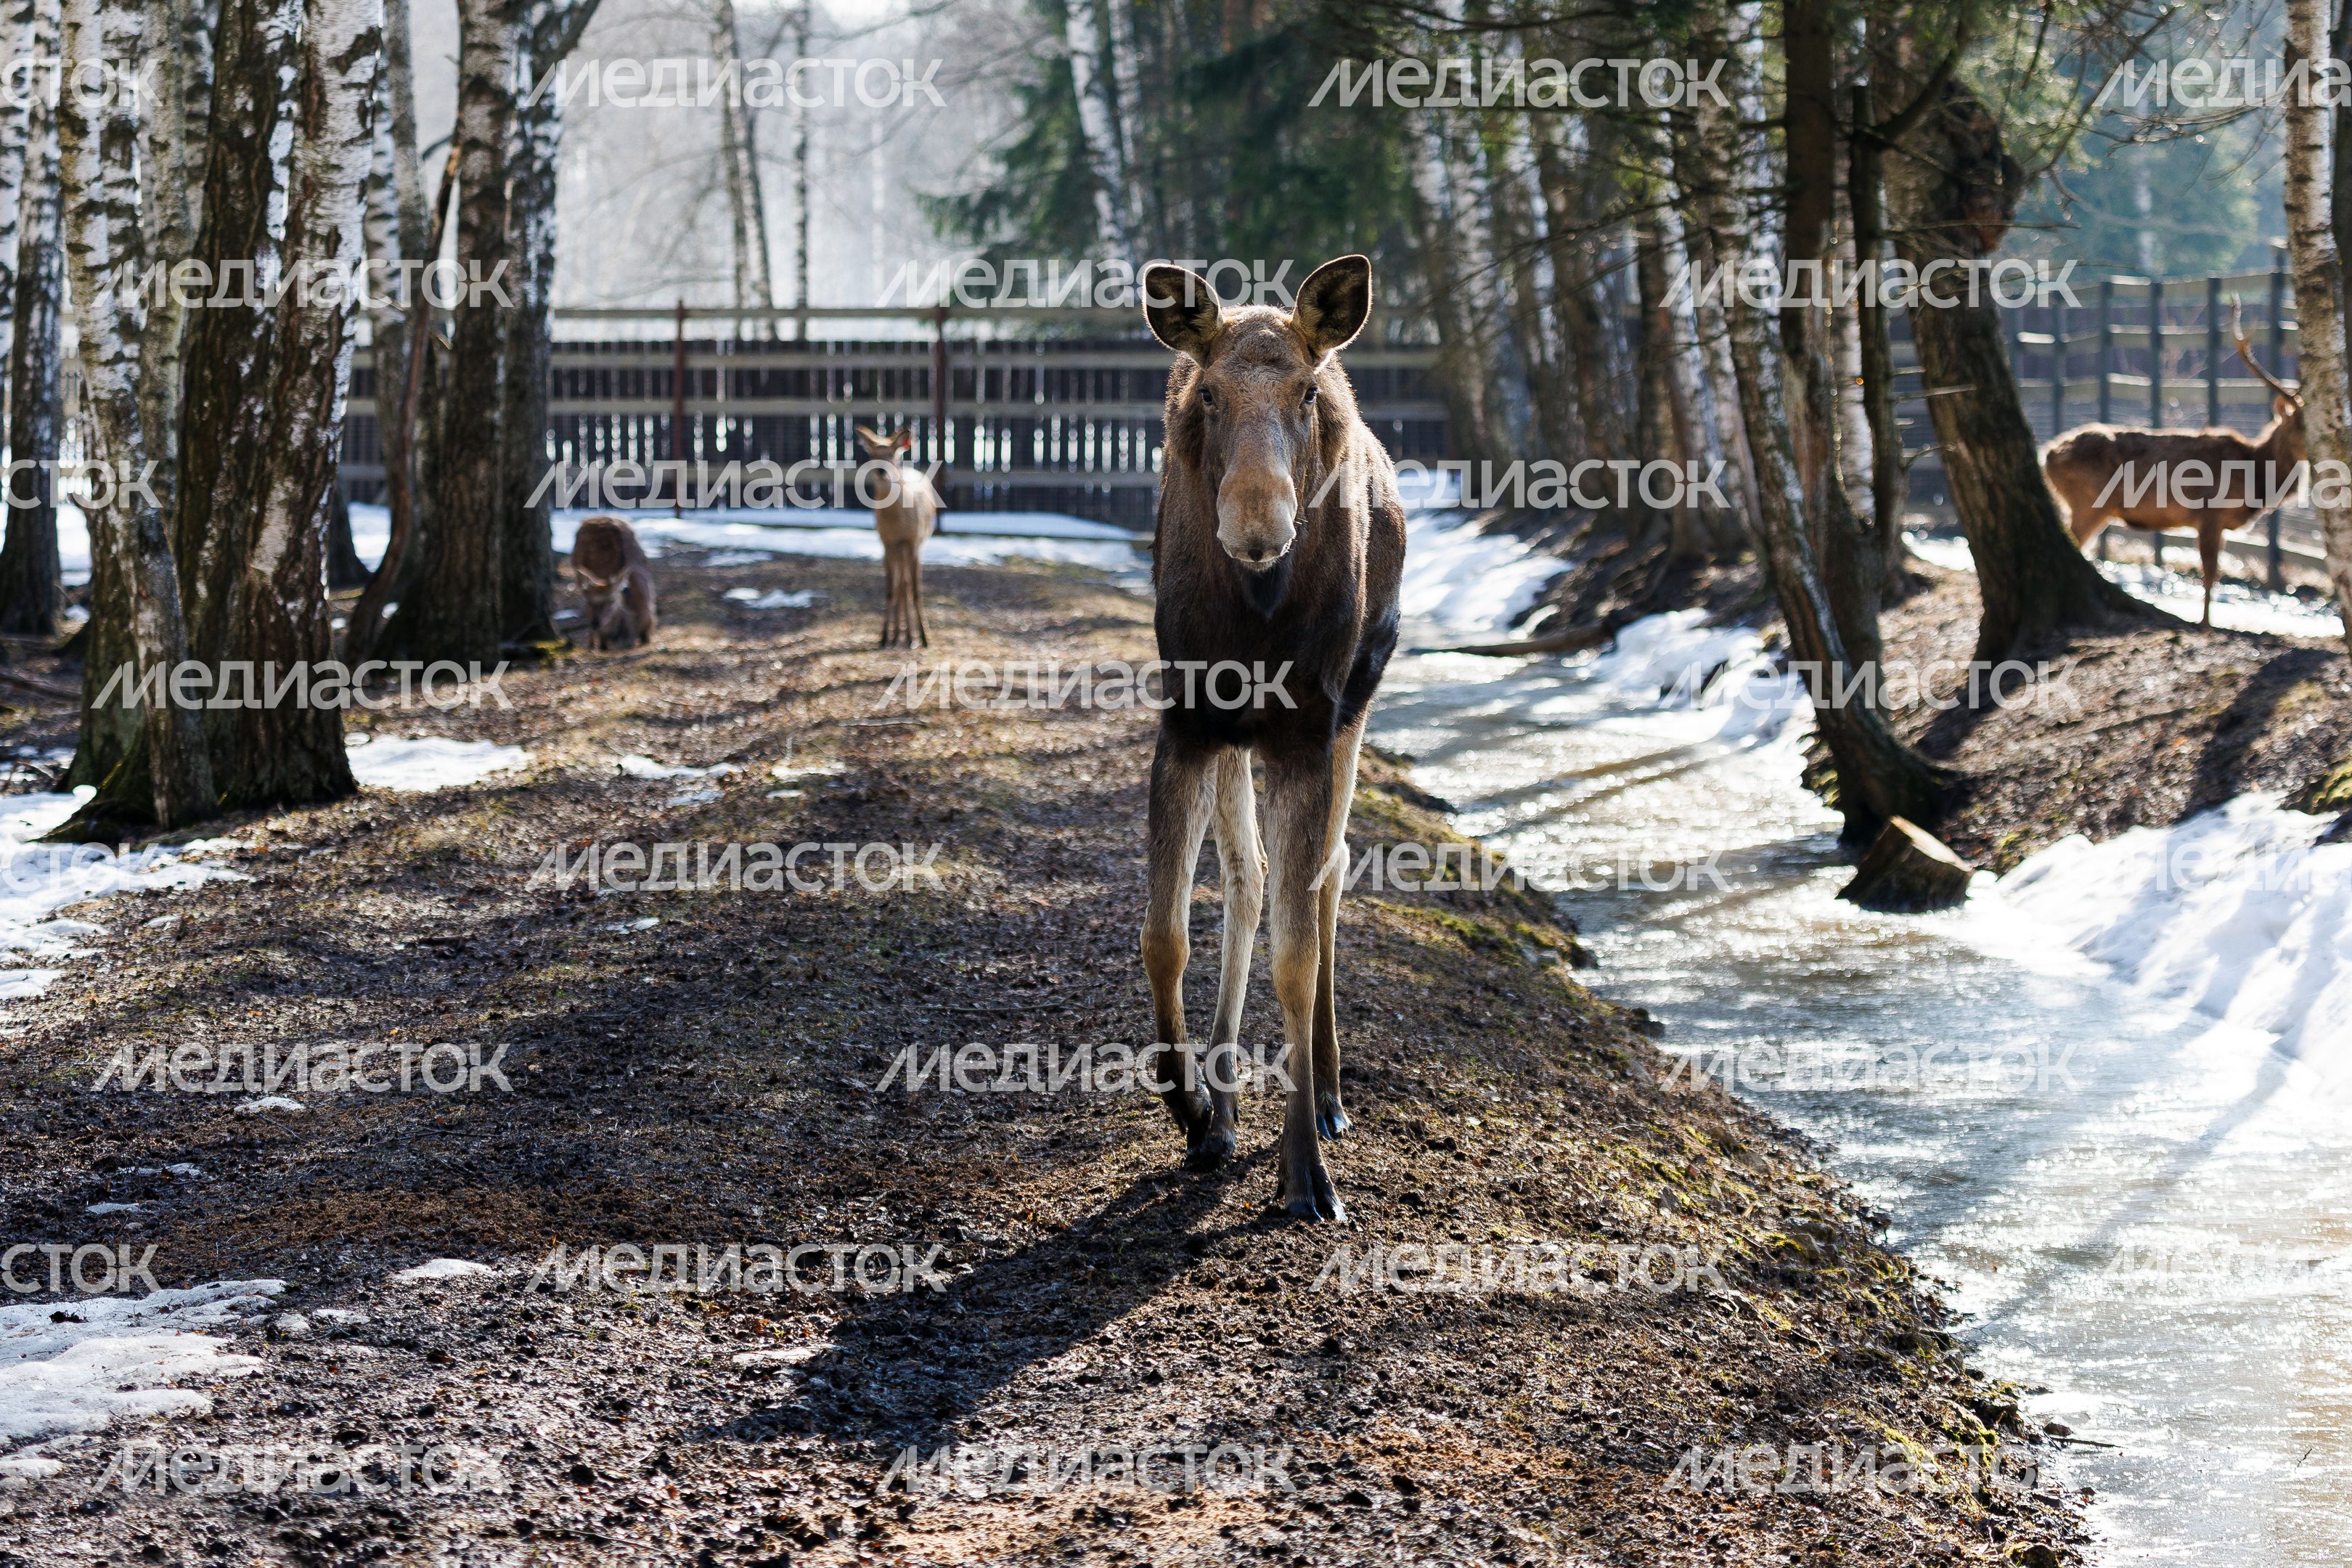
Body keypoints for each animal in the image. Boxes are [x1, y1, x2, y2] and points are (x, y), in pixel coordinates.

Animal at [571, 515, 657, 650]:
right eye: (590, 601)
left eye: (611, 600)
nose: (596, 623)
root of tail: (597, 517)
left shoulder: (649, 623)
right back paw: (591, 645)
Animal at [854, 425, 939, 648]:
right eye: (873, 455)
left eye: (892, 455)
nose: (881, 471)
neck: (898, 524)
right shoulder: (886, 542)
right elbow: (891, 589)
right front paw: (885, 637)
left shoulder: (913, 541)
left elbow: (915, 590)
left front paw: (922, 638)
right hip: (896, 549)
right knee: (900, 585)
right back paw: (897, 636)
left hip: (917, 542)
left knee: (907, 584)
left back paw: (909, 636)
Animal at [1138, 255, 1406, 1224]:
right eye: (1210, 392)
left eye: (1304, 391)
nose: (1257, 528)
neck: (1255, 617)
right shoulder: (1187, 722)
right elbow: (1167, 932)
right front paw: (1189, 1105)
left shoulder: (1305, 732)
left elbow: (1294, 952)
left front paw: (1303, 1171)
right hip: (1240, 741)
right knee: (1251, 882)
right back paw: (1221, 1107)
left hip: (1353, 713)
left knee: (1326, 883)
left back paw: (1326, 1094)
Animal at [2042, 314, 2305, 627]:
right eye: (2300, 425)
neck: (2255, 475)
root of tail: (2048, 455)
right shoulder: (2210, 512)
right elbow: (2209, 570)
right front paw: (2206, 624)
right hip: (2088, 502)